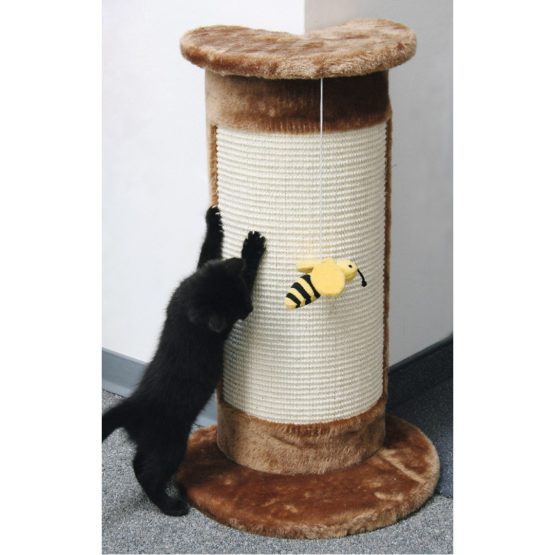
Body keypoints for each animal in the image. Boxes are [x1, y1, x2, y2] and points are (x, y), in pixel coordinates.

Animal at [102, 206, 266, 516]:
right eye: (239, 308)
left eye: (243, 299)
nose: (250, 309)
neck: (187, 306)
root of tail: (134, 406)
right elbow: (246, 270)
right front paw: (252, 249)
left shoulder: (192, 277)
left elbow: (207, 252)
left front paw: (214, 221)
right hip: (172, 442)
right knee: (149, 474)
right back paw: (171, 505)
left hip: (154, 444)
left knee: (137, 463)